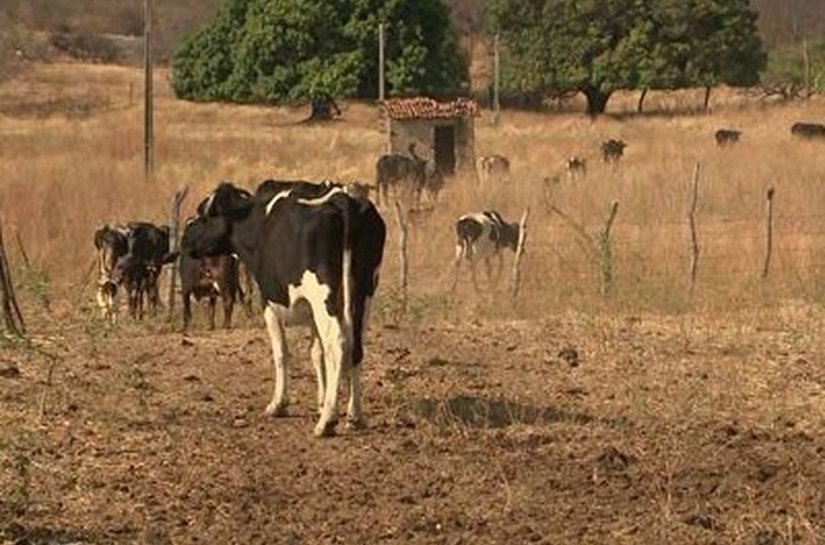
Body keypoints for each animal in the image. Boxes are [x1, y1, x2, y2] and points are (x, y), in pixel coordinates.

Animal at [181, 181, 386, 436]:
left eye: (203, 214)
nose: (184, 238)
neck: (257, 222)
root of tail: (342, 198)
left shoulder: (269, 304)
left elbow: (281, 353)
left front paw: (279, 404)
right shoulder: (312, 313)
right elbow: (316, 353)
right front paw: (322, 402)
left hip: (323, 295)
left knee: (337, 343)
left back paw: (326, 422)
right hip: (363, 293)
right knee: (355, 347)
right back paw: (354, 415)